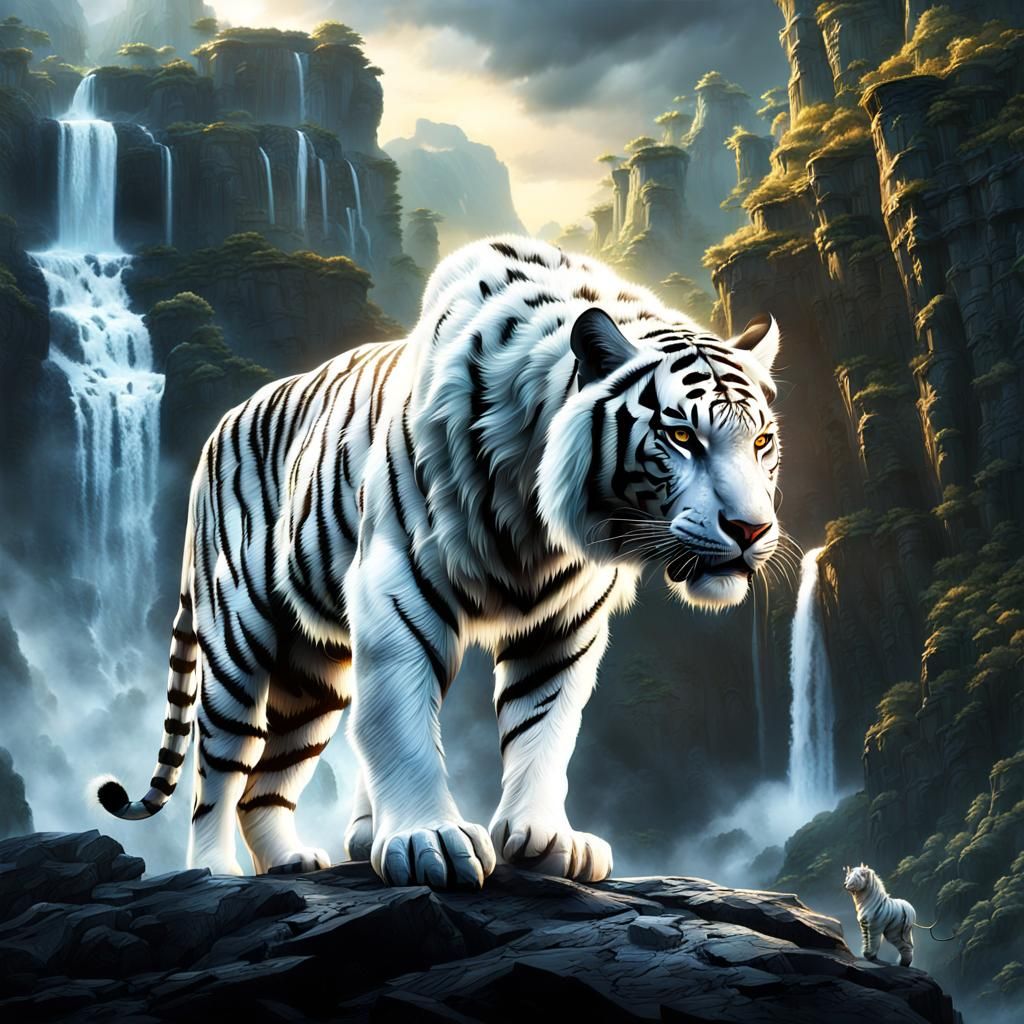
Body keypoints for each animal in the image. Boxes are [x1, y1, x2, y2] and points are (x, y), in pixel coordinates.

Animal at [93, 235, 782, 890]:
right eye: (682, 436)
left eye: (762, 441)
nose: (751, 529)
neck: (541, 511)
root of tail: (219, 428)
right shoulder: (397, 589)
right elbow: (401, 726)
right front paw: (431, 841)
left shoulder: (566, 619)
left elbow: (545, 725)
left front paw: (545, 838)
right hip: (238, 639)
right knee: (220, 769)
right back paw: (214, 869)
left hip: (314, 671)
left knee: (268, 778)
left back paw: (291, 860)